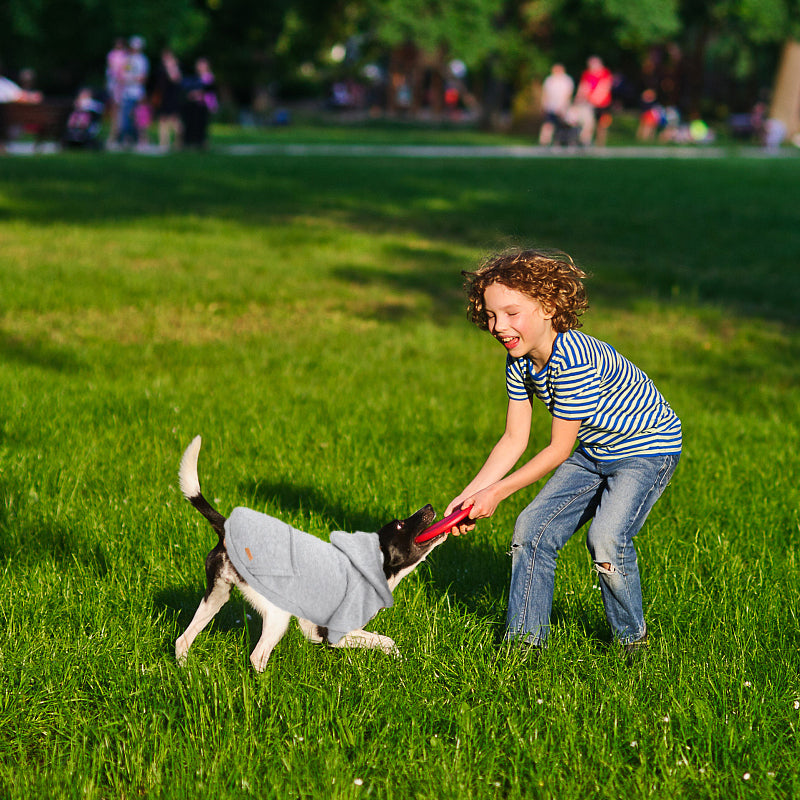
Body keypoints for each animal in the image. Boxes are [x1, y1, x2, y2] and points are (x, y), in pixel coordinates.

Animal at [175, 438, 446, 668]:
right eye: (400, 525)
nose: (429, 506)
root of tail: (227, 529)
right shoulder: (330, 634)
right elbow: (382, 639)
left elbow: (384, 641)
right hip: (277, 614)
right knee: (257, 656)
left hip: (217, 596)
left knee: (183, 640)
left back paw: (188, 673)